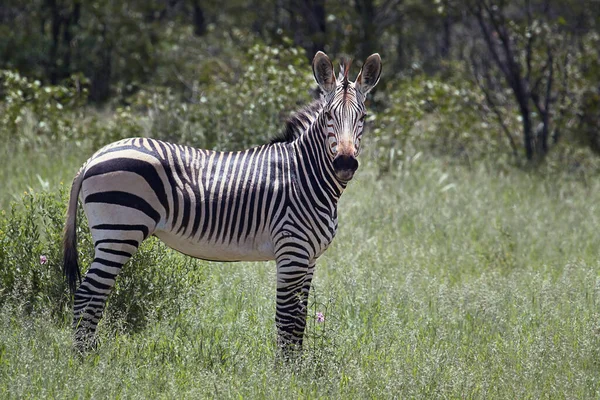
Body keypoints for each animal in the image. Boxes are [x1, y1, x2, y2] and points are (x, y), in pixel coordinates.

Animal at [63, 50, 382, 354]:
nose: (345, 164)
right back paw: (86, 360)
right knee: (88, 295)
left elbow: (300, 320)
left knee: (91, 296)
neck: (305, 174)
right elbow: (287, 319)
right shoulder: (292, 252)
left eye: (363, 117)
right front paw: (284, 371)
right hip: (119, 232)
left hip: (113, 234)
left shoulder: (309, 257)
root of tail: (94, 156)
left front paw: (298, 368)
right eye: (329, 115)